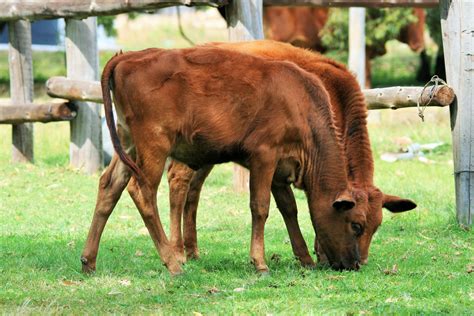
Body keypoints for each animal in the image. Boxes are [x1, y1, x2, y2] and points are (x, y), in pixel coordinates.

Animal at [81, 45, 362, 276]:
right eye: (356, 225)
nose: (355, 263)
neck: (300, 102)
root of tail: (127, 57)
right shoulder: (264, 156)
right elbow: (260, 207)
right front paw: (260, 263)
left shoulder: (280, 170)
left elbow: (289, 209)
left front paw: (305, 259)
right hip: (154, 146)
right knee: (143, 191)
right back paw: (173, 263)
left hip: (126, 143)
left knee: (109, 186)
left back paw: (89, 261)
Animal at [166, 39, 414, 266]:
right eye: (356, 225)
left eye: (377, 226)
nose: (360, 263)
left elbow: (289, 207)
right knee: (178, 181)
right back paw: (178, 252)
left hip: (207, 153)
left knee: (194, 191)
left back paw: (192, 250)